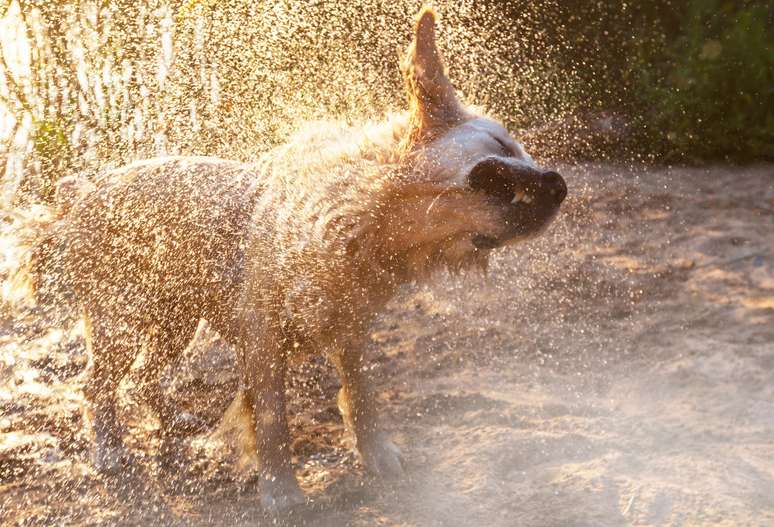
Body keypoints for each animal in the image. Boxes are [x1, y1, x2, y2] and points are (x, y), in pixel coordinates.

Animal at [21, 6, 568, 512]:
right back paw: (109, 450)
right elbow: (272, 422)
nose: (561, 184)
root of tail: (85, 189)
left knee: (144, 377)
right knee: (97, 385)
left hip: (177, 317)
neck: (364, 222)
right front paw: (281, 491)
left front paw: (378, 455)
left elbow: (362, 395)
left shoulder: (351, 326)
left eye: (522, 149)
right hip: (120, 319)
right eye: (497, 156)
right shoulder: (262, 339)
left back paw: (174, 420)